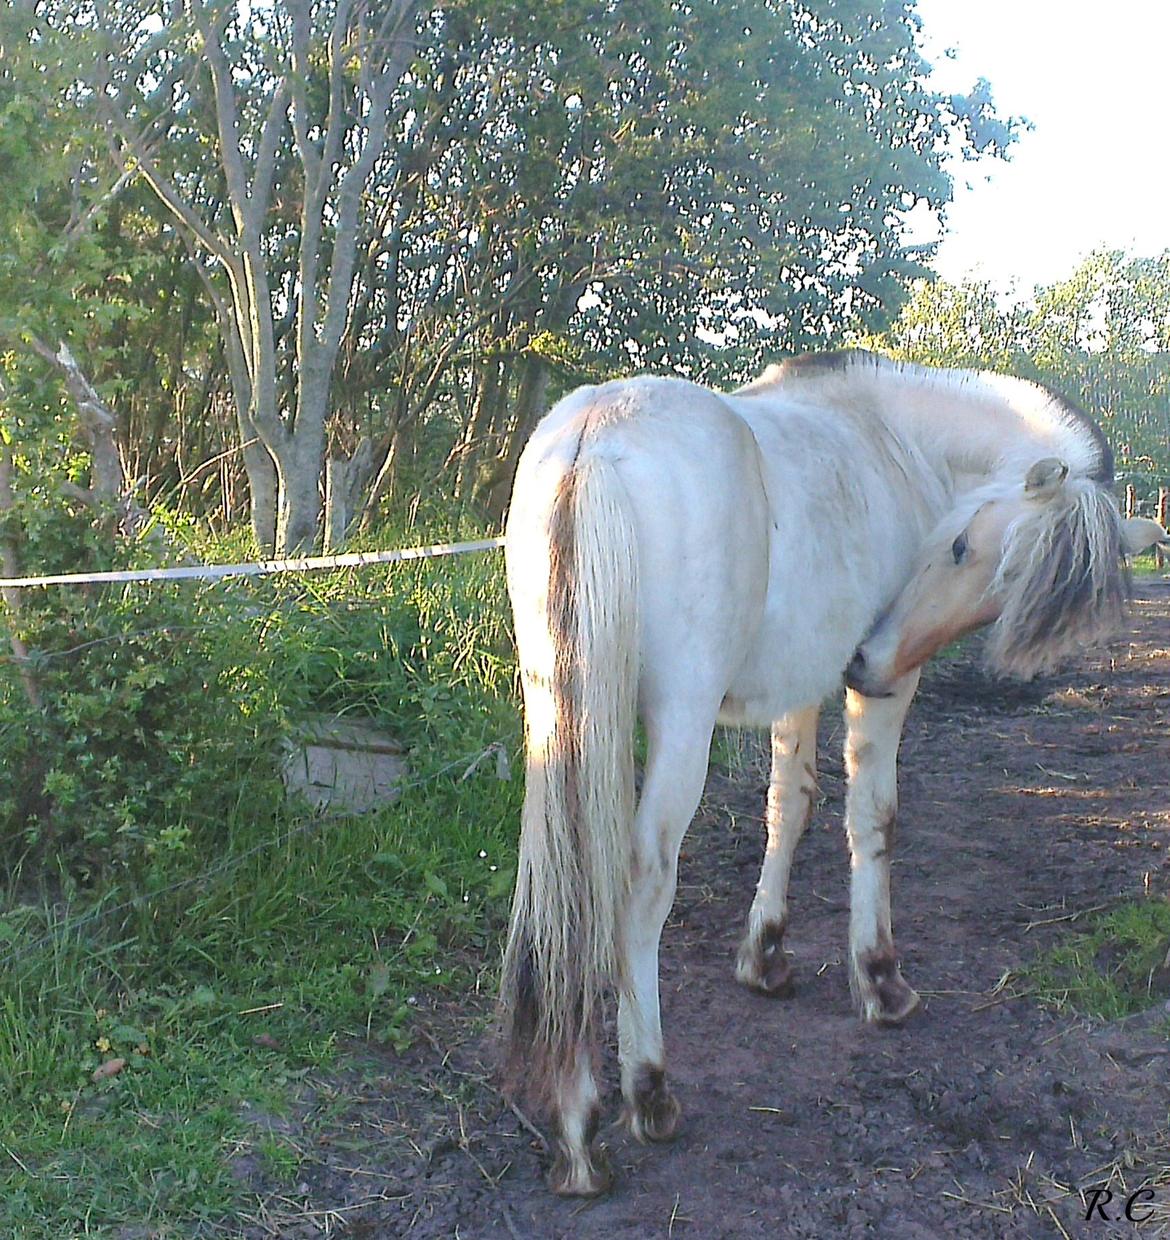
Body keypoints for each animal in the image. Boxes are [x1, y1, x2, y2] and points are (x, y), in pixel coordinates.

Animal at [495, 347, 1135, 1190]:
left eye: (1007, 597)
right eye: (962, 546)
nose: (869, 661)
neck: (895, 438)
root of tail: (597, 434)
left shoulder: (796, 687)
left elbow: (788, 806)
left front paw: (764, 956)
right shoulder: (885, 693)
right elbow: (872, 817)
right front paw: (881, 980)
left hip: (556, 709)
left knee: (560, 882)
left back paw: (576, 1124)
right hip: (677, 719)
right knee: (641, 880)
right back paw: (639, 1096)